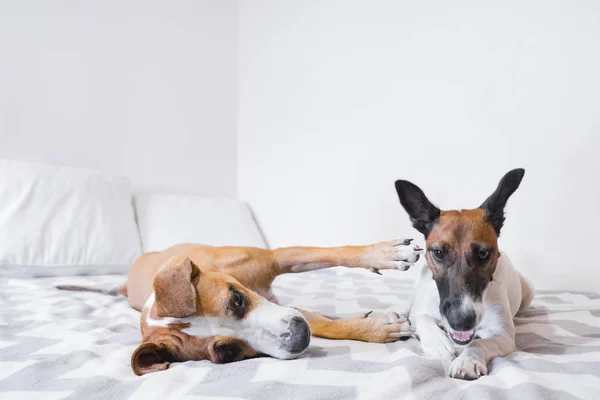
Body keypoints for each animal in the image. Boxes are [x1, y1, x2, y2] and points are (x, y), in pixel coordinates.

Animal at [61, 241, 422, 376]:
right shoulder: (286, 310)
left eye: (235, 299)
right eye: (228, 353)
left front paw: (385, 254)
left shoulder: (276, 258)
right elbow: (322, 323)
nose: (298, 338)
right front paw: (377, 328)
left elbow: (335, 252)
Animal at [394, 167, 536, 380]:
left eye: (483, 254)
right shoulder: (421, 310)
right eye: (438, 252)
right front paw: (439, 344)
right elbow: (423, 319)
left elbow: (478, 342)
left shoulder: (502, 335)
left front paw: (467, 360)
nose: (460, 321)